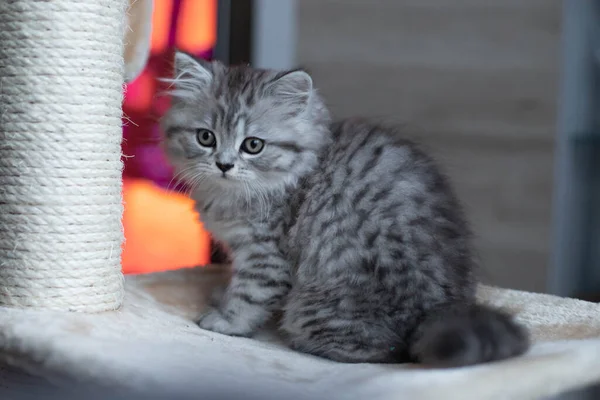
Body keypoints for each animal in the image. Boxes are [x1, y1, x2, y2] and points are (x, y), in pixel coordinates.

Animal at [162, 50, 528, 366]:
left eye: (253, 145)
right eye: (206, 138)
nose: (224, 165)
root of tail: (438, 312)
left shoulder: (266, 255)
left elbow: (249, 295)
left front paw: (225, 321)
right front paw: (220, 296)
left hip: (314, 307)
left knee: (388, 352)